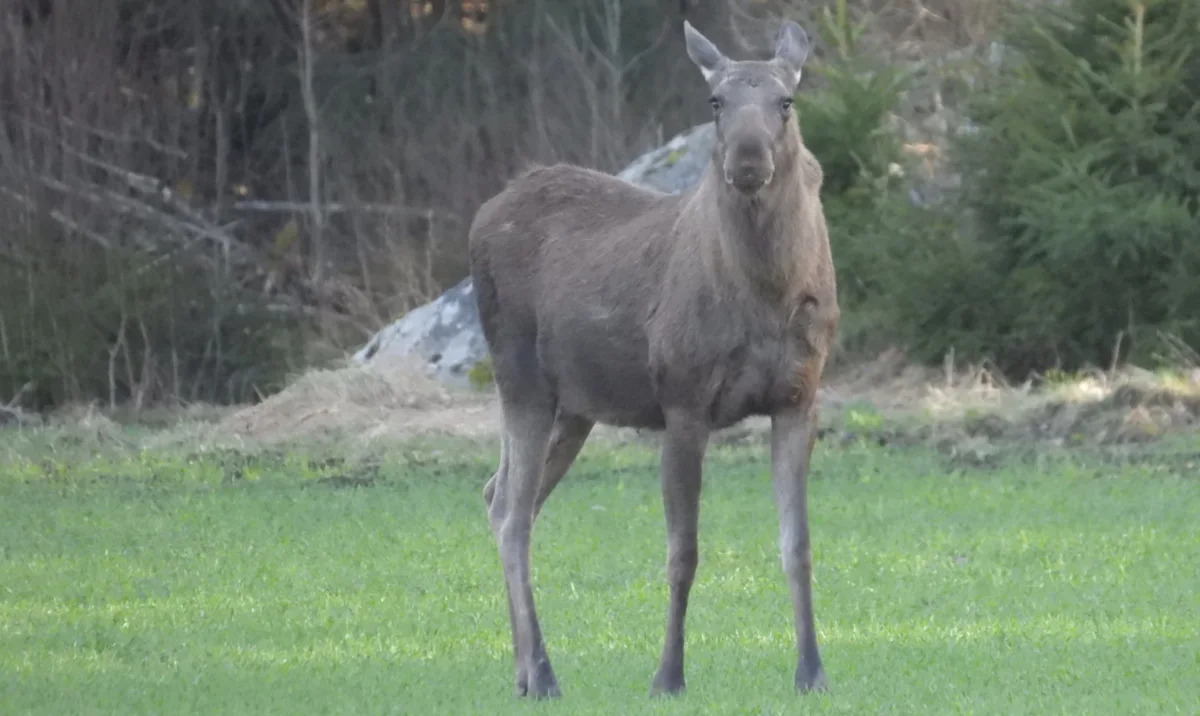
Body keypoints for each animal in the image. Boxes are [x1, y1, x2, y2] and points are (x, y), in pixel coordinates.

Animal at [468, 18, 838, 699]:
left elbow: (797, 545)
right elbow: (682, 551)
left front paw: (812, 672)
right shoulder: (683, 400)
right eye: (715, 101)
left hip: (574, 408)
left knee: (499, 496)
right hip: (519, 377)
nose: (748, 160)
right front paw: (668, 675)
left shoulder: (800, 397)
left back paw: (523, 673)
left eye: (786, 100)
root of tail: (485, 212)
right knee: (513, 518)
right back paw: (546, 673)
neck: (768, 293)